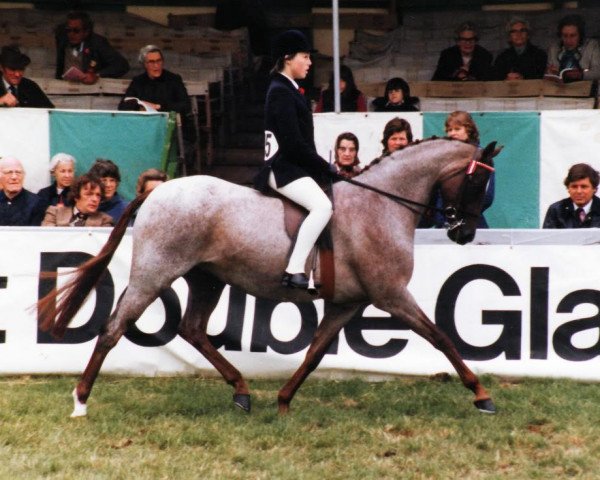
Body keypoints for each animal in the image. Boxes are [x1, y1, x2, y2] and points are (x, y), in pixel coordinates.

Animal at [37, 136, 502, 416]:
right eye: (477, 183)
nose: (465, 233)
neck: (381, 205)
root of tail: (157, 191)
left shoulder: (346, 302)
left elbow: (315, 353)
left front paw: (282, 400)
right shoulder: (392, 295)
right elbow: (440, 336)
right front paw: (482, 395)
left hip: (207, 279)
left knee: (193, 329)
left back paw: (242, 391)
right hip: (155, 274)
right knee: (114, 327)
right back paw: (80, 402)